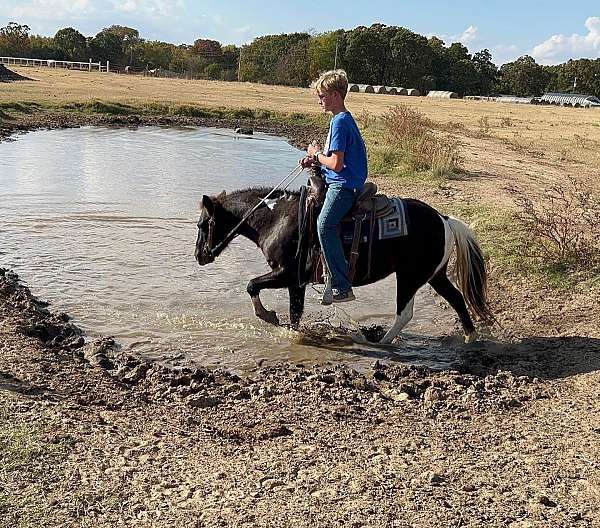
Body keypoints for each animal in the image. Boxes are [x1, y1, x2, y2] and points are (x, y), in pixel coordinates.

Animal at [195, 188, 494, 344]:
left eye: (202, 224)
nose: (199, 256)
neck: (278, 219)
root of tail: (444, 219)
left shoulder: (286, 274)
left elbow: (251, 285)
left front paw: (267, 315)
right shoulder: (296, 282)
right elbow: (295, 313)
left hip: (410, 277)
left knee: (405, 313)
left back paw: (381, 341)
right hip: (434, 275)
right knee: (456, 298)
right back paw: (470, 337)